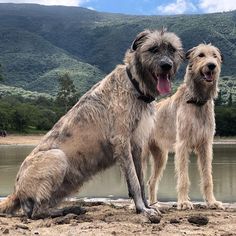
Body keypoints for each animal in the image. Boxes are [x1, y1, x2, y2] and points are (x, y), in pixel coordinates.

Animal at [0, 29, 183, 219]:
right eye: (153, 49)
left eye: (172, 49)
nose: (167, 65)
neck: (134, 85)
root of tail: (16, 191)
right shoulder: (121, 140)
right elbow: (133, 180)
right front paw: (142, 209)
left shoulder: (137, 145)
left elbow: (139, 178)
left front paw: (146, 205)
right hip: (57, 157)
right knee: (35, 212)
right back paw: (67, 210)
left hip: (67, 183)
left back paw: (70, 209)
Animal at [148, 43, 223, 209]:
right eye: (201, 55)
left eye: (215, 56)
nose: (212, 66)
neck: (197, 101)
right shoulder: (182, 144)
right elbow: (183, 177)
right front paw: (183, 202)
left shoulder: (205, 145)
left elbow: (207, 176)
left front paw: (212, 201)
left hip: (160, 155)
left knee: (151, 181)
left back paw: (154, 204)